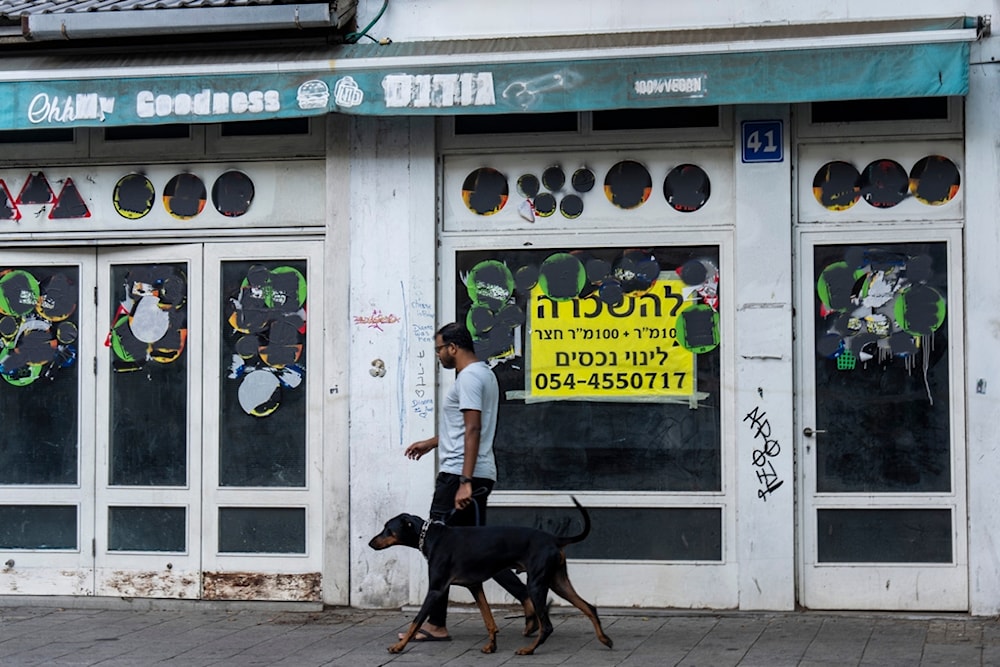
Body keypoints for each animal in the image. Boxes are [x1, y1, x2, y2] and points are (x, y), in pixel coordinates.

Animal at [372, 498, 612, 656]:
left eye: (387, 529)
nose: (370, 542)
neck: (431, 537)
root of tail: (555, 539)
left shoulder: (436, 590)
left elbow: (416, 621)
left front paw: (399, 647)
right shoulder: (475, 586)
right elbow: (489, 619)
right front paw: (492, 645)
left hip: (537, 584)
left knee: (548, 626)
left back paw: (529, 649)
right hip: (558, 582)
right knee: (589, 607)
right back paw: (604, 639)